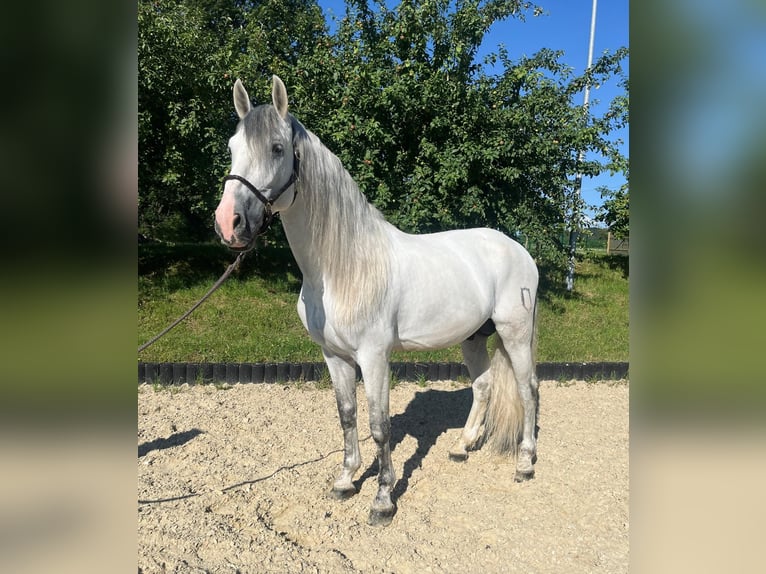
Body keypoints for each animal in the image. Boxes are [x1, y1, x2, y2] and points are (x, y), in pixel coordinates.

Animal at [213, 77, 544, 532]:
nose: (229, 223)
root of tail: (518, 249)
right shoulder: (333, 356)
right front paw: (345, 480)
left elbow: (379, 426)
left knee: (528, 391)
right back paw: (461, 447)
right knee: (484, 386)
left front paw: (383, 500)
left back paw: (525, 464)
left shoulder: (374, 357)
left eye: (277, 148)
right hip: (473, 338)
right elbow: (347, 415)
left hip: (515, 333)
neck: (343, 266)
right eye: (232, 147)